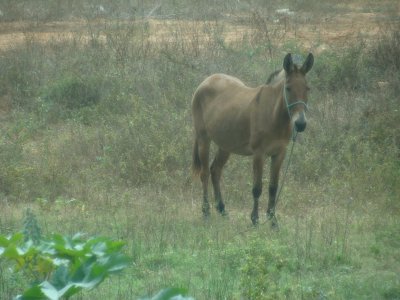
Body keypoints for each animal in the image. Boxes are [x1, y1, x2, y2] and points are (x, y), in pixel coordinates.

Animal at [191, 52, 312, 226]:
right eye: (288, 88)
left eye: (307, 89)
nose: (301, 124)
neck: (273, 115)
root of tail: (207, 80)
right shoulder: (259, 154)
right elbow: (257, 188)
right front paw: (255, 219)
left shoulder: (279, 153)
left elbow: (273, 188)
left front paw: (273, 221)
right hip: (203, 139)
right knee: (205, 173)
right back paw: (206, 212)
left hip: (226, 145)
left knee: (215, 170)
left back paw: (221, 209)